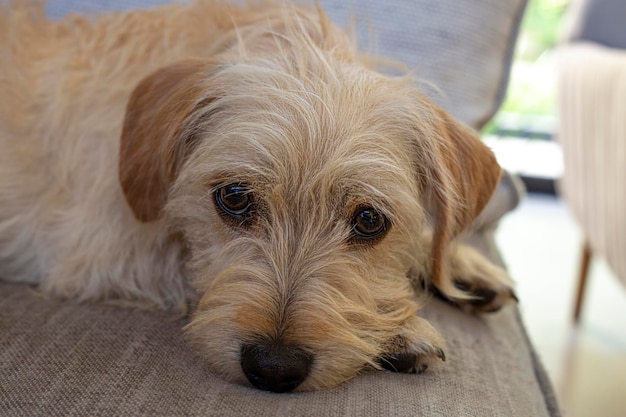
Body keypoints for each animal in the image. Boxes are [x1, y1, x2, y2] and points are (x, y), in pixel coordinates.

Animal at [0, 0, 516, 392]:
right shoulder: (97, 250)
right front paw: (395, 329)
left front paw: (456, 266)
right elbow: (185, 263)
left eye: (369, 220)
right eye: (233, 197)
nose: (274, 368)